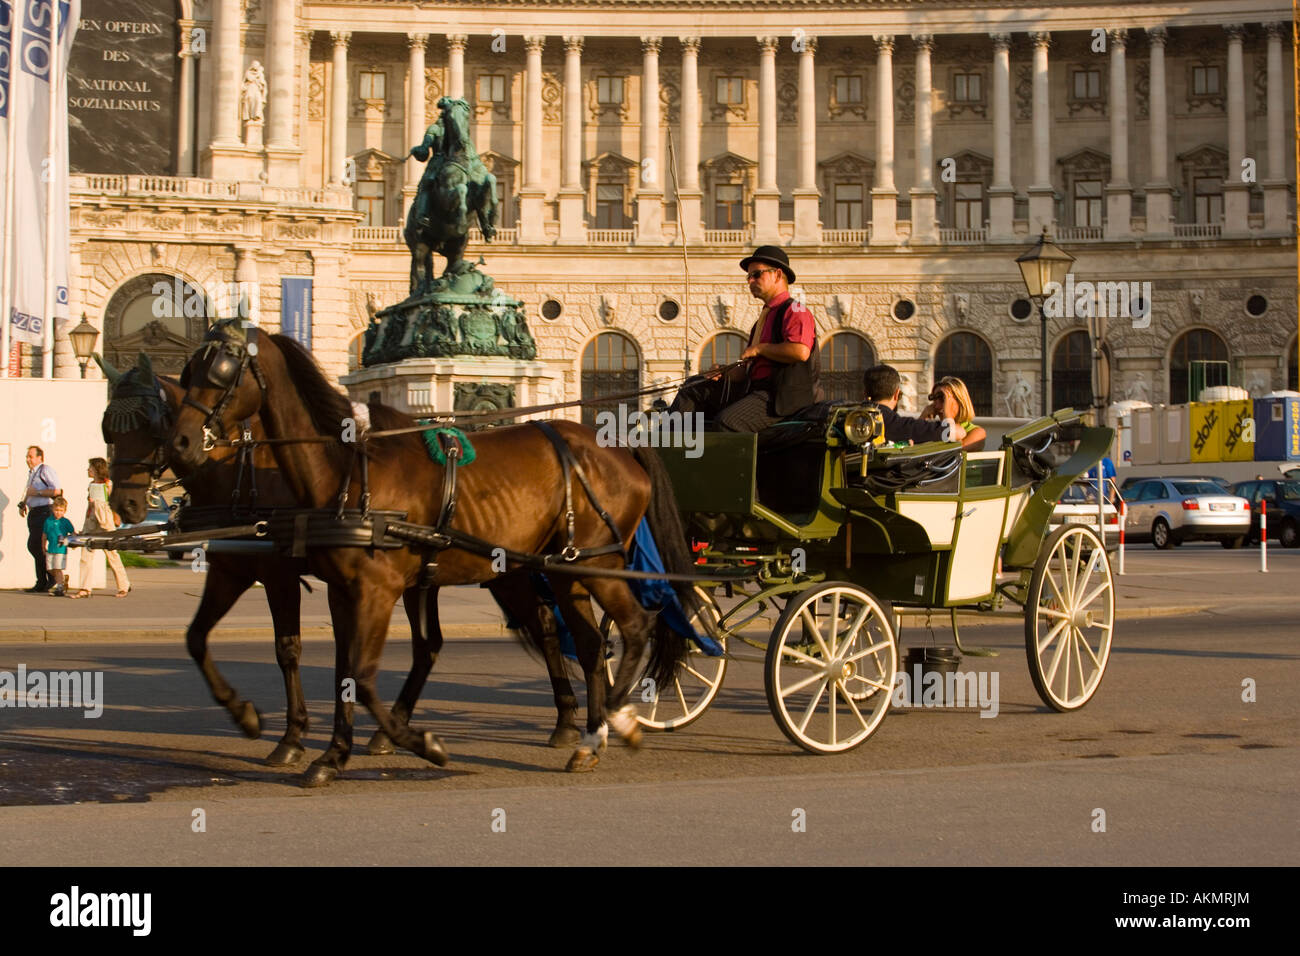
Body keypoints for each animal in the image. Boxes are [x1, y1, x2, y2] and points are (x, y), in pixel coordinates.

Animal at [170, 321, 702, 785]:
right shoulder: (339, 591)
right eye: (187, 371)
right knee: (590, 645)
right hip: (562, 570)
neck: (348, 470)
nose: (181, 443)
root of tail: (620, 445)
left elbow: (362, 676)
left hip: (597, 565)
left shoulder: (371, 590)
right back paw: (590, 737)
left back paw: (617, 719)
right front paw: (331, 753)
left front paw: (419, 742)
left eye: (221, 371)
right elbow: (343, 672)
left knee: (633, 627)